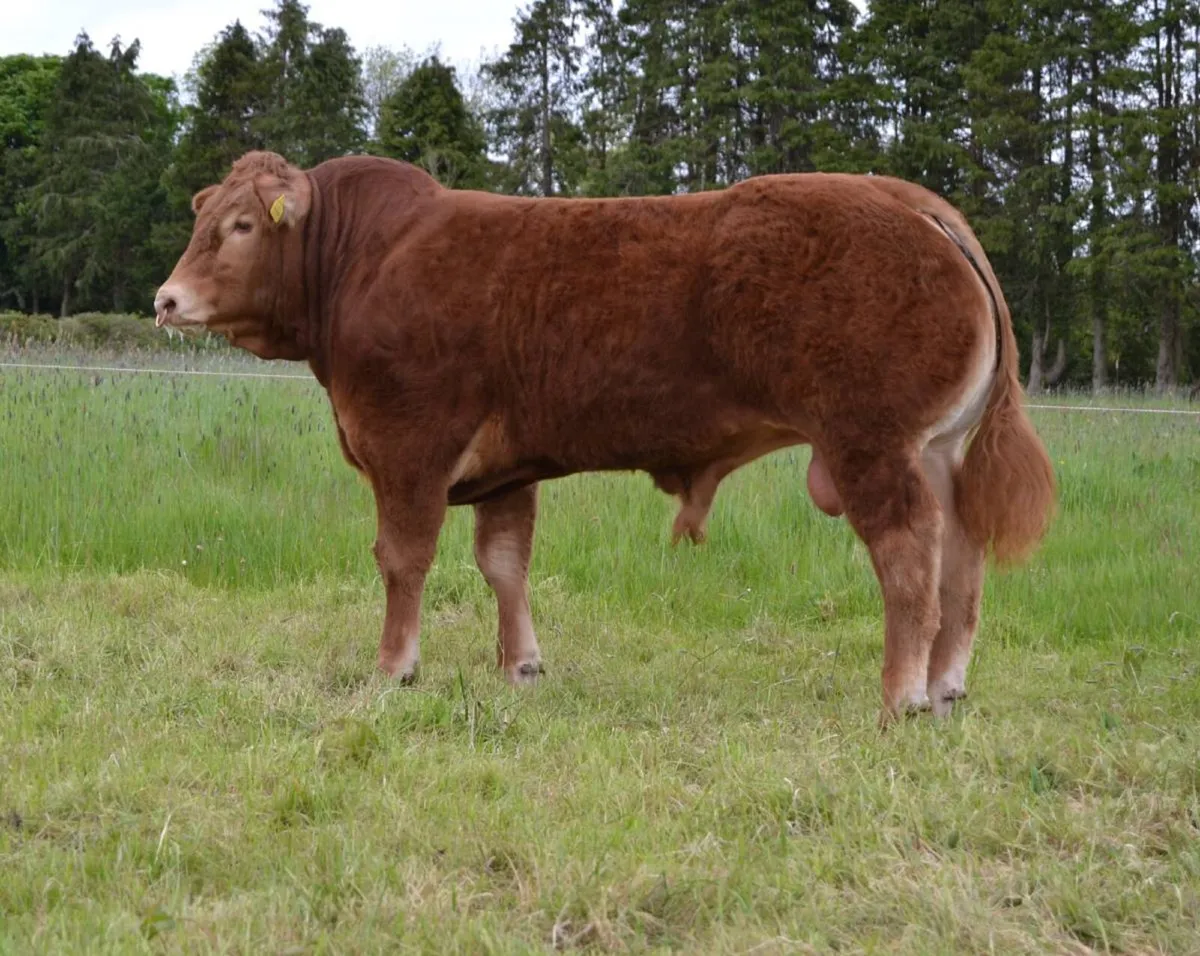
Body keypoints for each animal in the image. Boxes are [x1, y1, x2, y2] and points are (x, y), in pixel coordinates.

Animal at [154, 150, 1055, 725]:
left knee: (908, 558)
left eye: (241, 226)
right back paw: (946, 687)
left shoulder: (407, 447)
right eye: (206, 218)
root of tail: (909, 199)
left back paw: (901, 695)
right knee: (962, 562)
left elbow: (403, 560)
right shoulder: (506, 469)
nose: (166, 299)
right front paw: (520, 666)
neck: (361, 260)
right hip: (937, 453)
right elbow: (504, 563)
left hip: (873, 444)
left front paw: (393, 668)